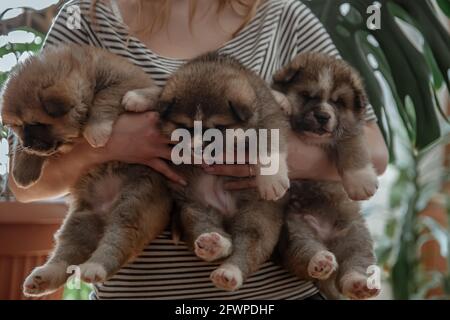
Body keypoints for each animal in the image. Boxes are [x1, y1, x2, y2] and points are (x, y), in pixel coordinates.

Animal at [1, 44, 171, 298]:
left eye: (38, 123)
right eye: (19, 126)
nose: (30, 144)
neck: (87, 74)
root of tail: (106, 210)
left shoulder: (123, 81)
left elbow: (106, 98)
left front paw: (98, 129)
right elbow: (20, 149)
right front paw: (23, 170)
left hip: (133, 206)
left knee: (117, 243)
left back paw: (95, 267)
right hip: (80, 220)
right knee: (66, 255)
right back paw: (42, 278)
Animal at [132, 53, 290, 292]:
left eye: (216, 129)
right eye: (184, 127)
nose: (196, 149)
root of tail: (226, 211)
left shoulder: (269, 115)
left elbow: (268, 139)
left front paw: (271, 178)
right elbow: (160, 92)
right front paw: (138, 96)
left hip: (259, 216)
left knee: (250, 243)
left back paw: (231, 271)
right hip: (193, 208)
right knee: (209, 229)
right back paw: (214, 245)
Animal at [272, 53, 382, 300]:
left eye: (338, 102)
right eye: (306, 96)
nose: (323, 116)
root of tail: (327, 239)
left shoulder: (349, 132)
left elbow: (354, 151)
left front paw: (361, 182)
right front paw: (280, 99)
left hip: (355, 235)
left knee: (354, 264)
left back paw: (359, 284)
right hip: (296, 231)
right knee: (305, 254)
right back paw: (320, 261)